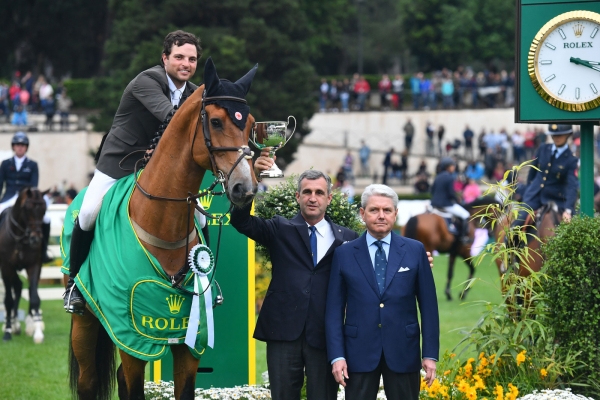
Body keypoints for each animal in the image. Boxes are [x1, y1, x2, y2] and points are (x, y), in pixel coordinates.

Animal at [0, 186, 47, 342]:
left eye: (44, 209)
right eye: (27, 209)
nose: (36, 239)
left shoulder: (34, 265)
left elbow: (34, 297)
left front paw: (37, 331)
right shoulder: (6, 266)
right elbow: (8, 300)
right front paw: (7, 331)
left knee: (25, 288)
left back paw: (29, 324)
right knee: (16, 287)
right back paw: (13, 324)